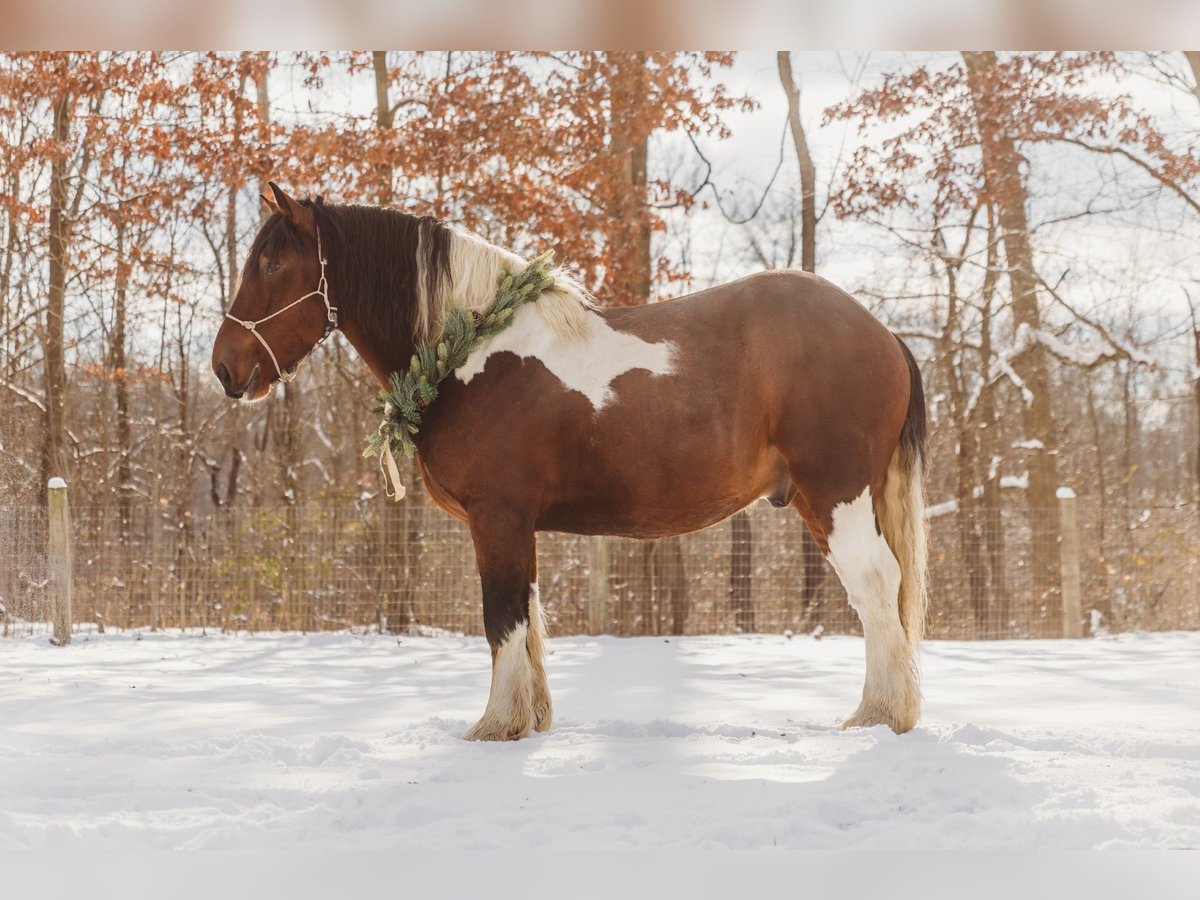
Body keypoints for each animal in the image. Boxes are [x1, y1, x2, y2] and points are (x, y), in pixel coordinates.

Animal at [211, 183, 929, 741]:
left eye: (272, 262)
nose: (224, 368)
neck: (469, 349)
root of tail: (883, 334)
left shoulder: (497, 516)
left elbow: (502, 615)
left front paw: (495, 725)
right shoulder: (514, 524)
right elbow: (526, 616)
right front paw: (529, 720)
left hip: (837, 497)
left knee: (874, 586)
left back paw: (880, 716)